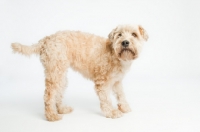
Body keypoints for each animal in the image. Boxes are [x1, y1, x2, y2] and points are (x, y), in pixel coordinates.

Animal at [11, 24, 148, 121]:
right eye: (119, 35)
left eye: (134, 34)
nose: (125, 42)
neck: (115, 53)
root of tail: (46, 39)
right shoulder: (102, 82)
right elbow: (106, 99)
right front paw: (112, 112)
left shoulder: (117, 81)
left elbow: (121, 95)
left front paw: (124, 107)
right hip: (55, 73)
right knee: (49, 95)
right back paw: (51, 116)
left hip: (61, 75)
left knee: (58, 93)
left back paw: (61, 109)